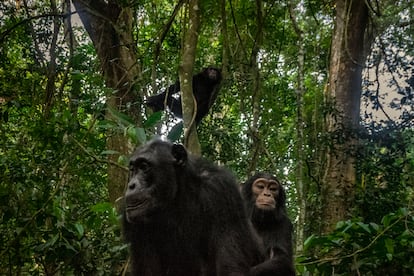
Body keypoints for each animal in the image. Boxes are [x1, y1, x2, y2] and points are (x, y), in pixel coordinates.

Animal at [123, 140, 266, 276]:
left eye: (144, 167)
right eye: (133, 170)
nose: (131, 185)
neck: (177, 195)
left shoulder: (221, 190)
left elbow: (229, 267)